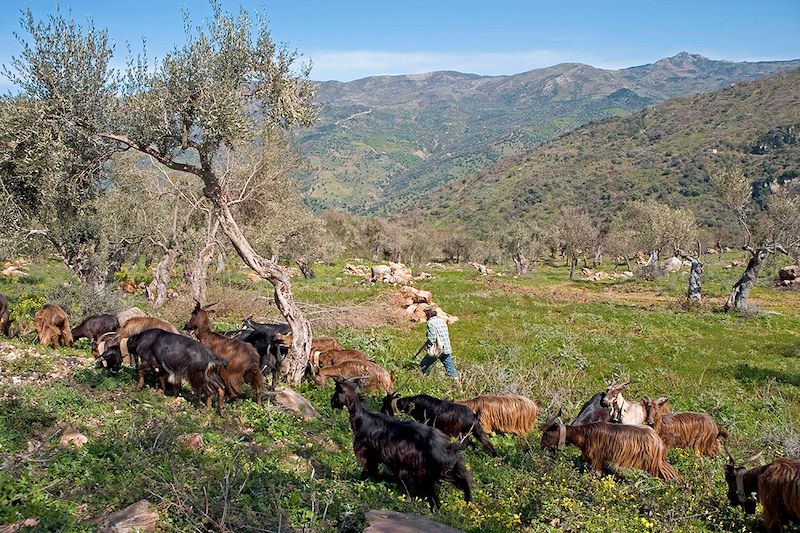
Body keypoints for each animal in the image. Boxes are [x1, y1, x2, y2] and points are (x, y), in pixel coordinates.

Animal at [99, 330, 227, 414]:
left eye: (109, 358)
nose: (112, 372)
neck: (140, 339)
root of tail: (211, 357)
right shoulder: (160, 365)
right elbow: (160, 377)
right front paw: (161, 391)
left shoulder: (147, 360)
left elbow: (140, 371)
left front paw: (138, 387)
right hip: (210, 375)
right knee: (221, 388)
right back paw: (220, 410)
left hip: (197, 376)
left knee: (209, 391)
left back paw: (206, 409)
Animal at [332, 374, 476, 508]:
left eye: (336, 390)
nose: (332, 402)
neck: (362, 418)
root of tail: (449, 446)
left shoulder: (368, 452)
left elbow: (369, 471)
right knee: (463, 479)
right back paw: (467, 501)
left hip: (428, 472)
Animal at [536, 416, 680, 482]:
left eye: (547, 433)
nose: (541, 445)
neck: (585, 434)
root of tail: (658, 440)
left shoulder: (597, 458)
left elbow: (597, 474)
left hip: (651, 463)